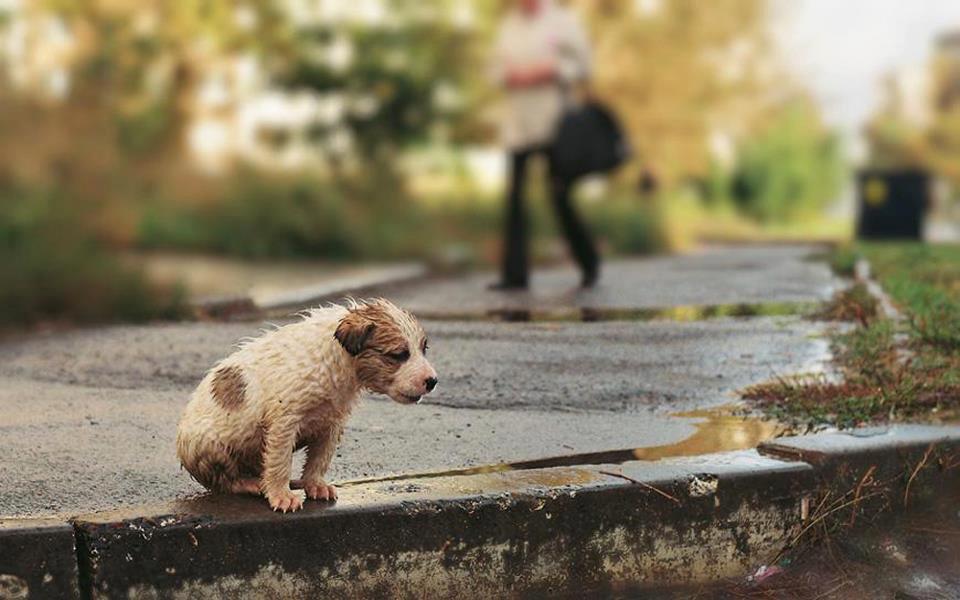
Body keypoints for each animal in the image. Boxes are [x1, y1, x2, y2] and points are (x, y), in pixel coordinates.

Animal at [177, 298, 438, 510]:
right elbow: (280, 462)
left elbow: (319, 459)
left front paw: (315, 484)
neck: (336, 359)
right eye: (398, 355)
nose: (433, 381)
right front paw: (281, 495)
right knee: (224, 480)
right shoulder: (284, 421)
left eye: (423, 349)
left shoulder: (331, 423)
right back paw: (251, 483)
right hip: (209, 444)